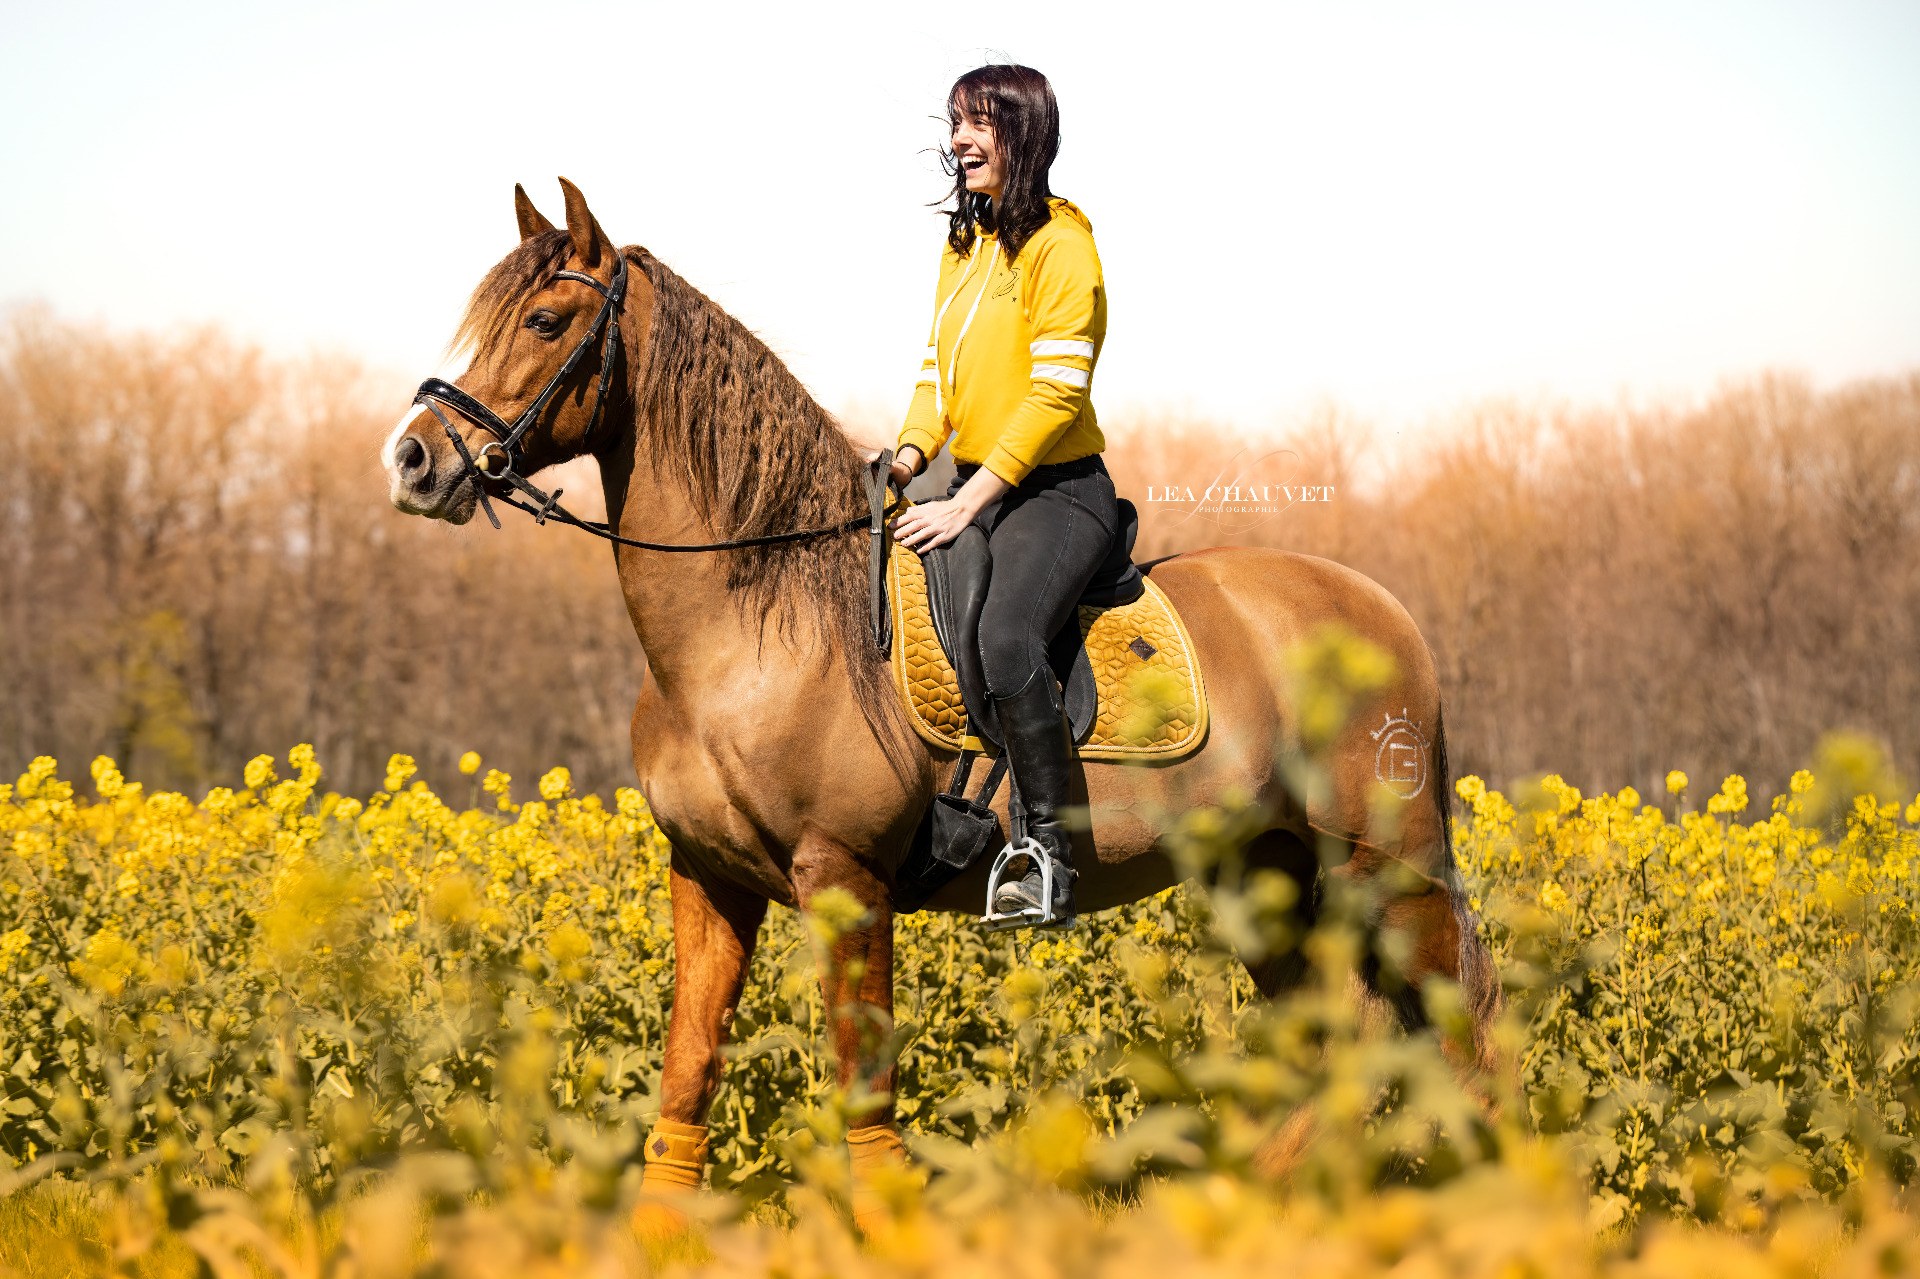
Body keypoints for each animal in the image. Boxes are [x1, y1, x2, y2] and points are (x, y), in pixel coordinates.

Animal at [381, 178, 1502, 1218]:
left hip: (1390, 874)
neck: (757, 628)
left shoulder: (845, 880)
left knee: (1465, 1044)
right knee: (1340, 1055)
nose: (414, 460)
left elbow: (862, 1092)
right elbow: (688, 1073)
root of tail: (1384, 611)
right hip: (1264, 877)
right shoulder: (708, 878)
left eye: (544, 320)